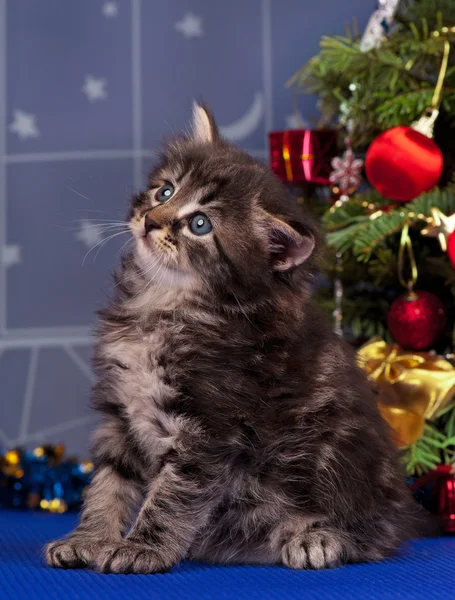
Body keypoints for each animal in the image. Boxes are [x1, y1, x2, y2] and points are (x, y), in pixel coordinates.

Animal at [45, 105, 416, 576]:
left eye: (200, 224)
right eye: (165, 191)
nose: (151, 221)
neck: (163, 307)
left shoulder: (210, 430)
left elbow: (170, 497)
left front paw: (142, 548)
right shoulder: (121, 412)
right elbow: (108, 485)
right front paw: (88, 540)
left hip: (335, 459)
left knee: (376, 532)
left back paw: (316, 538)